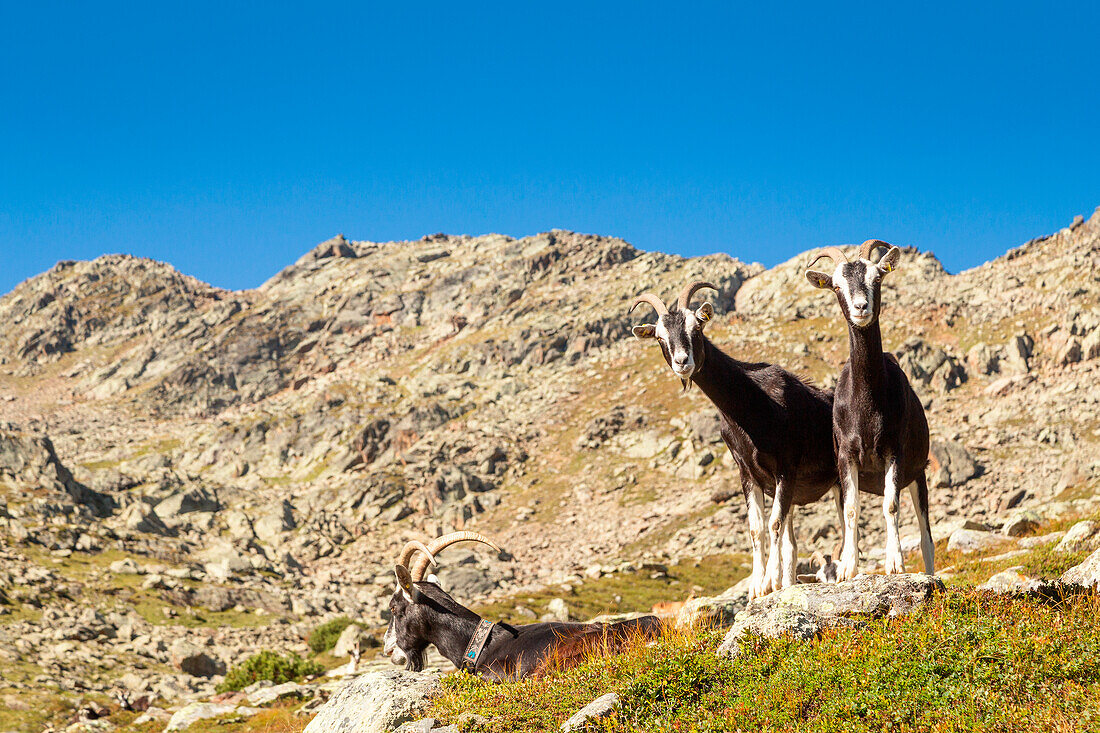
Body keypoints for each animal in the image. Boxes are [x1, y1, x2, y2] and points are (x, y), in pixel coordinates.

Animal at [629, 278, 840, 594]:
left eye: (696, 328)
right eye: (659, 337)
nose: (682, 362)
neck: (752, 403)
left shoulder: (786, 468)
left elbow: (773, 524)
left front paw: (768, 583)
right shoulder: (748, 473)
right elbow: (756, 528)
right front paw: (756, 587)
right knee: (792, 543)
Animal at [805, 242, 932, 581]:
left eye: (877, 278)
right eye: (837, 286)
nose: (861, 308)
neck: (867, 408)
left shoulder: (893, 451)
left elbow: (890, 506)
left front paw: (895, 563)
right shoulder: (846, 456)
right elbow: (851, 510)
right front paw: (848, 568)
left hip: (919, 475)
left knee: (927, 539)